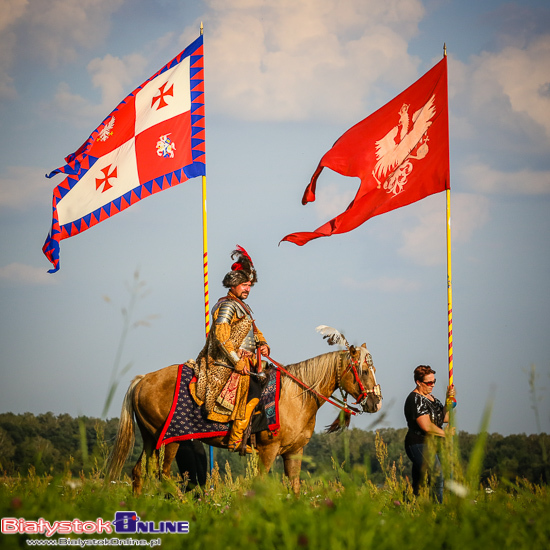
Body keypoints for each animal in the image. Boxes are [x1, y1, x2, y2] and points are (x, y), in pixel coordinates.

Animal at [106, 344, 384, 496]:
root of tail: (142, 379)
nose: (375, 402)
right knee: (161, 475)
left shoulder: (294, 451)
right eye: (363, 370)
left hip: (151, 438)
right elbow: (260, 482)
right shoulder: (268, 450)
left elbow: (294, 486)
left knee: (139, 472)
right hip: (169, 440)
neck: (296, 397)